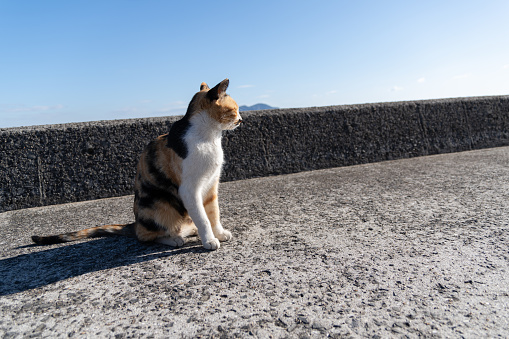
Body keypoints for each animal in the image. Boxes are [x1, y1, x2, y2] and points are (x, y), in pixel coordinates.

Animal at [31, 78, 242, 251]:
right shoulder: (190, 189)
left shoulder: (211, 185)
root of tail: (135, 224)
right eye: (235, 109)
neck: (209, 136)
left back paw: (189, 231)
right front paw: (210, 240)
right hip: (159, 206)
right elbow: (204, 219)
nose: (241, 119)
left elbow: (213, 213)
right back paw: (173, 238)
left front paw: (219, 233)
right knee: (146, 236)